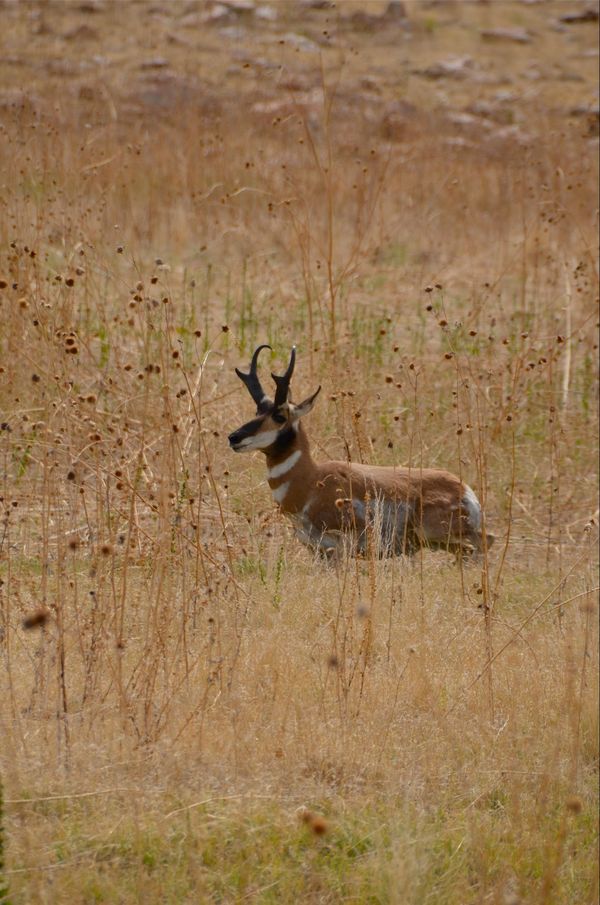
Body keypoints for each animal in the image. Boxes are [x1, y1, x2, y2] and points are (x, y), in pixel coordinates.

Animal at [227, 346, 494, 556]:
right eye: (258, 411)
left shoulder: (337, 549)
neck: (311, 481)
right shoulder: (317, 551)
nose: (233, 437)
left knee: (484, 542)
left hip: (435, 532)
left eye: (279, 415)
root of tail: (464, 489)